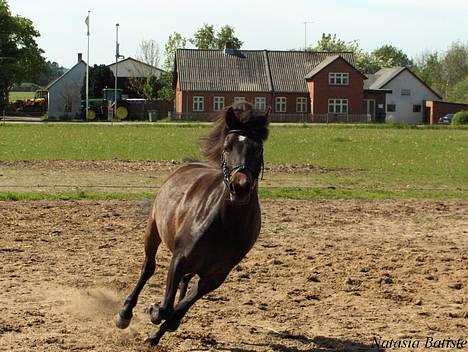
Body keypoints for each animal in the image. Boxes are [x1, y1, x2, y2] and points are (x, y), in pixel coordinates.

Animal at [114, 102, 268, 346]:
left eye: (258, 149)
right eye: (227, 147)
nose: (240, 187)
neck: (226, 223)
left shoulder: (214, 278)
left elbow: (179, 308)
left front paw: (159, 331)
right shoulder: (179, 259)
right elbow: (167, 307)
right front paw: (155, 312)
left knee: (183, 285)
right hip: (153, 230)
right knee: (148, 268)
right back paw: (125, 313)